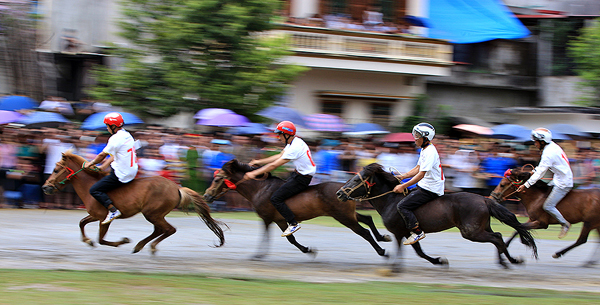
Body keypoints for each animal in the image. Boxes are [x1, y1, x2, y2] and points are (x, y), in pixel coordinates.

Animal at [41, 151, 225, 253]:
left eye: (56, 170)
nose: (45, 187)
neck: (90, 186)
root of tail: (176, 188)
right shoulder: (96, 216)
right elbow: (81, 223)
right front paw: (88, 240)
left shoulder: (104, 218)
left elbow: (101, 239)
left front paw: (122, 241)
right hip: (154, 214)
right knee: (160, 230)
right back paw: (140, 245)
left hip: (152, 213)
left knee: (169, 229)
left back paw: (148, 246)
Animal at [203, 159, 394, 258]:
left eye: (218, 179)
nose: (206, 195)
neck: (260, 188)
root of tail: (343, 189)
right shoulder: (281, 220)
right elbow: (291, 239)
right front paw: (308, 250)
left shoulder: (267, 218)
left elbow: (267, 237)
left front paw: (259, 254)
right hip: (347, 214)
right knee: (368, 219)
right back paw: (382, 237)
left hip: (344, 217)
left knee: (364, 232)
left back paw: (381, 250)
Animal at [336, 163, 536, 272]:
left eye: (356, 180)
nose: (339, 193)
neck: (391, 200)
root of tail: (484, 199)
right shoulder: (410, 232)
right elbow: (420, 252)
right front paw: (439, 261)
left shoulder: (399, 232)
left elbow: (403, 250)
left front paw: (394, 268)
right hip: (481, 227)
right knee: (498, 238)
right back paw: (507, 261)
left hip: (471, 231)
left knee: (497, 238)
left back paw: (509, 262)